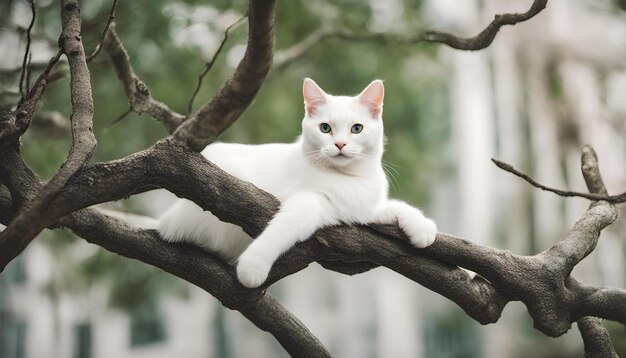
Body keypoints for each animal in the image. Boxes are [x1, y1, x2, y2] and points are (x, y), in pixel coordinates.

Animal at [158, 79, 436, 288]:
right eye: (325, 128)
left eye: (357, 128)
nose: (340, 144)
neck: (349, 178)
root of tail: (166, 220)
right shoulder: (307, 201)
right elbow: (284, 227)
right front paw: (253, 265)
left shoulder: (365, 209)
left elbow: (395, 207)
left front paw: (422, 227)